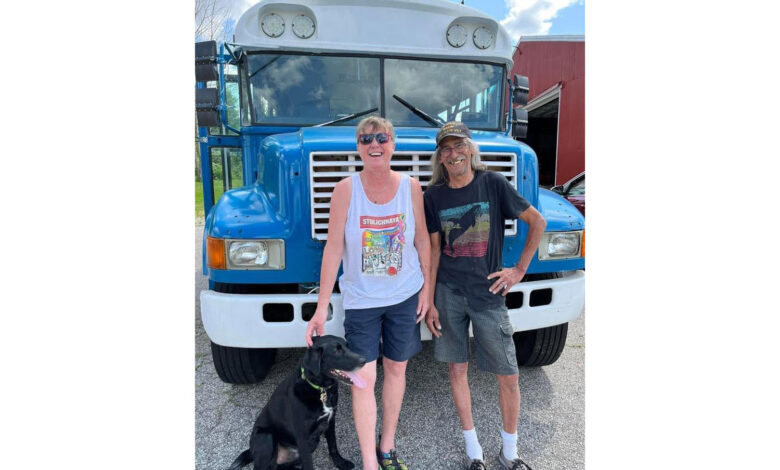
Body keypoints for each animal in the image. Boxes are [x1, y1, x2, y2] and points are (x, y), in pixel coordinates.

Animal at [227, 336, 368, 468]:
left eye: (348, 346)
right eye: (336, 351)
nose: (364, 361)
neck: (320, 388)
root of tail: (251, 451)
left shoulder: (330, 421)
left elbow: (333, 445)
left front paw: (340, 463)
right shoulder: (303, 437)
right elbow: (309, 464)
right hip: (266, 437)